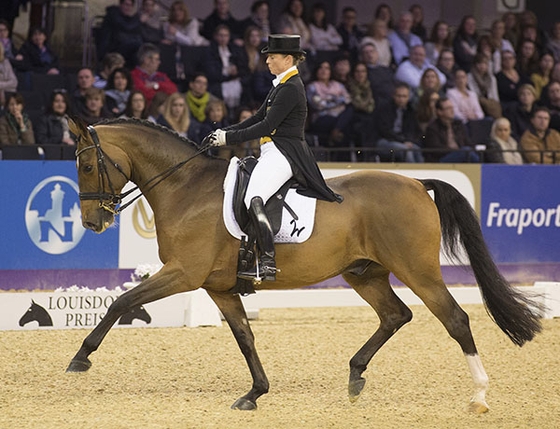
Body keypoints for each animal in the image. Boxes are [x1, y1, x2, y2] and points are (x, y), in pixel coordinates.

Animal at [66, 117, 544, 412]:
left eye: (87, 165)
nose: (93, 222)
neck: (185, 188)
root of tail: (415, 182)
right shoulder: (219, 287)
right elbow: (245, 337)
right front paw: (255, 393)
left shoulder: (183, 273)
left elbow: (121, 302)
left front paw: (80, 359)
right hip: (363, 272)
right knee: (396, 314)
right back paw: (355, 376)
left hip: (418, 270)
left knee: (455, 318)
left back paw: (479, 397)